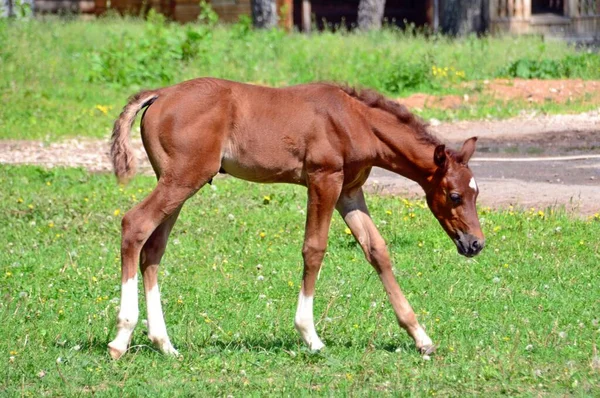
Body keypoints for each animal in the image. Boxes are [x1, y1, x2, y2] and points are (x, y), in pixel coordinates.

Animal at [106, 78, 482, 360]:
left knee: (153, 249)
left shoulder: (349, 191)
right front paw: (310, 335)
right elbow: (314, 249)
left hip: (177, 180)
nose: (476, 244)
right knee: (134, 224)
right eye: (454, 196)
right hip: (184, 177)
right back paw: (121, 337)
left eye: (476, 193)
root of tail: (160, 94)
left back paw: (164, 344)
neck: (354, 120)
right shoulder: (324, 179)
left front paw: (421, 337)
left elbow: (377, 250)